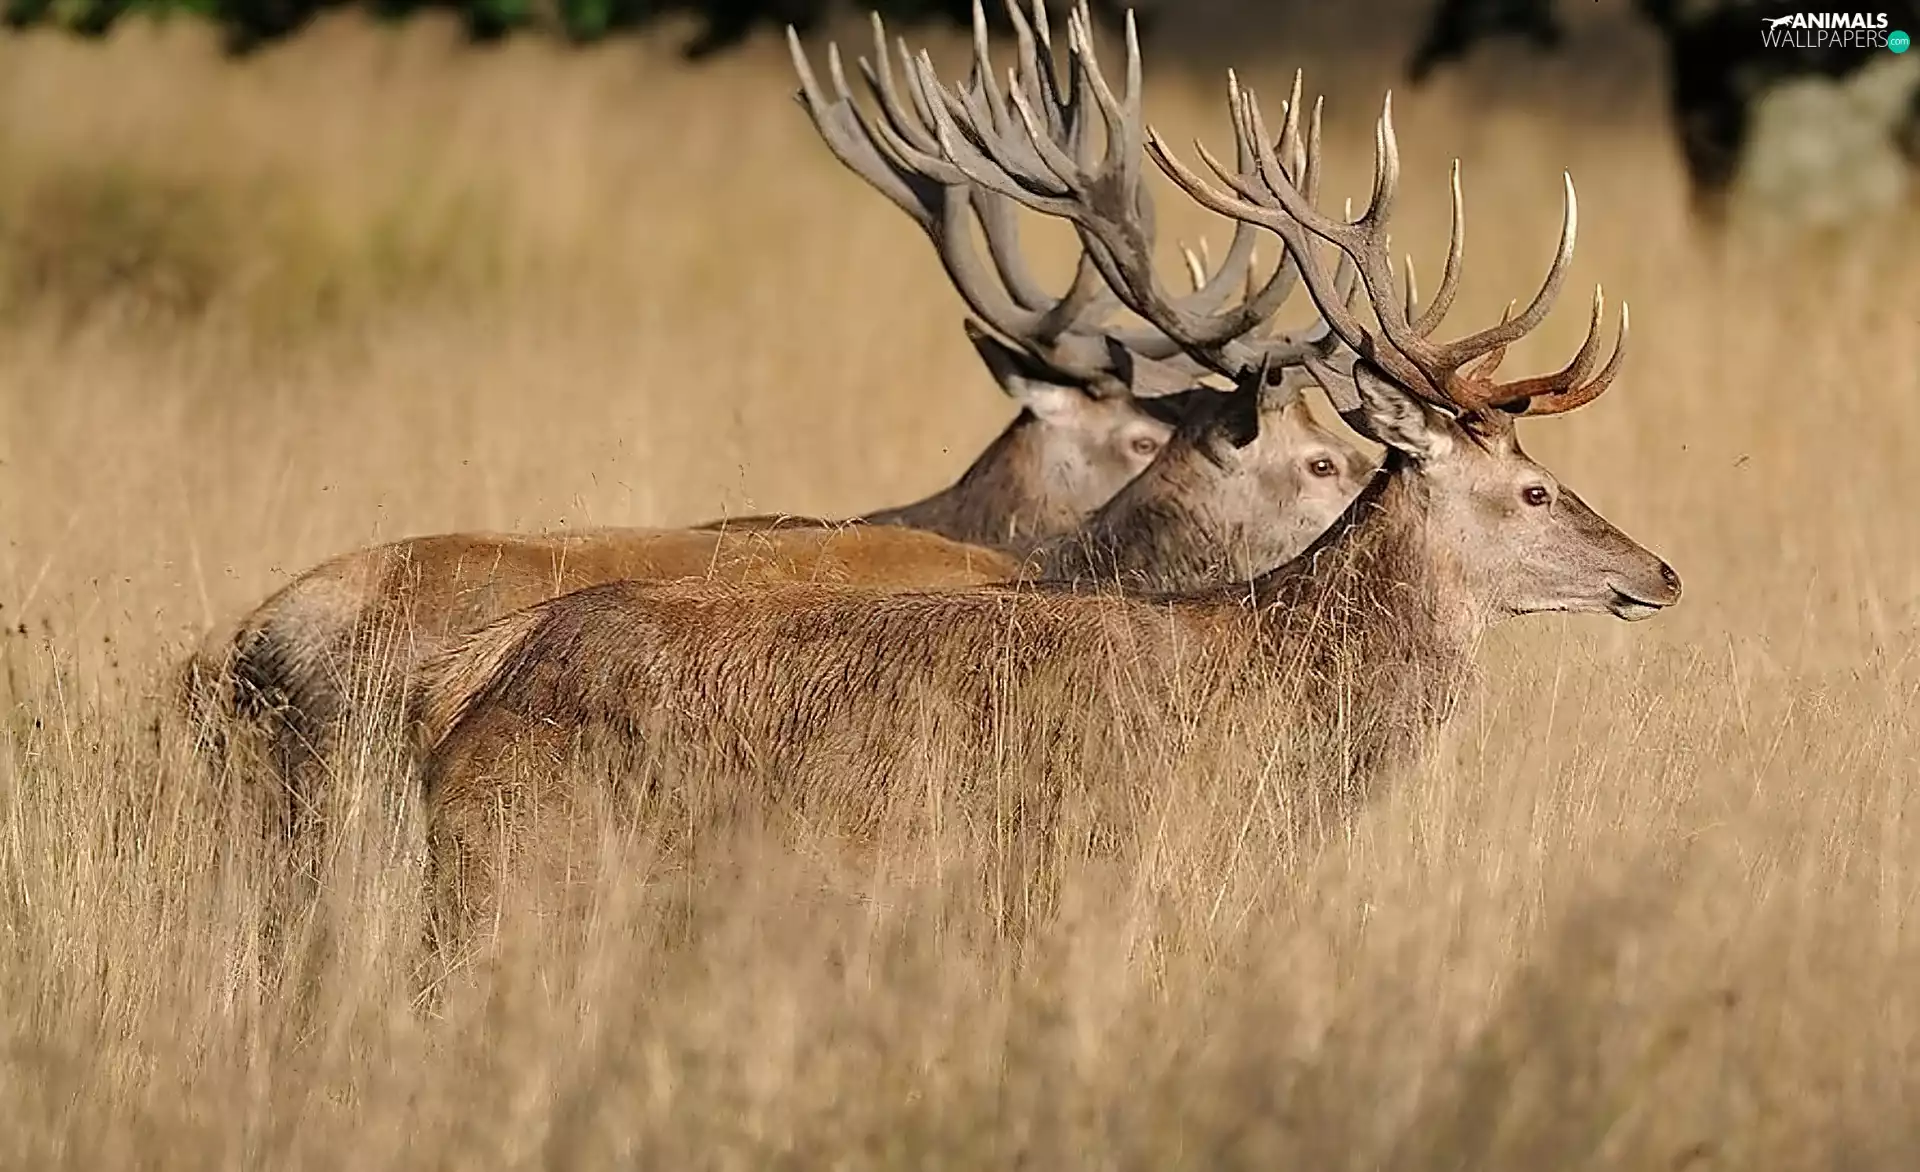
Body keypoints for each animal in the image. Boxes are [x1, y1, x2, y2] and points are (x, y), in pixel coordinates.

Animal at [412, 4, 1683, 944]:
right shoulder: (1104, 877)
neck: (1269, 712)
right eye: (1532, 488)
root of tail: (462, 697)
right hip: (518, 881)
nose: (1662, 571)